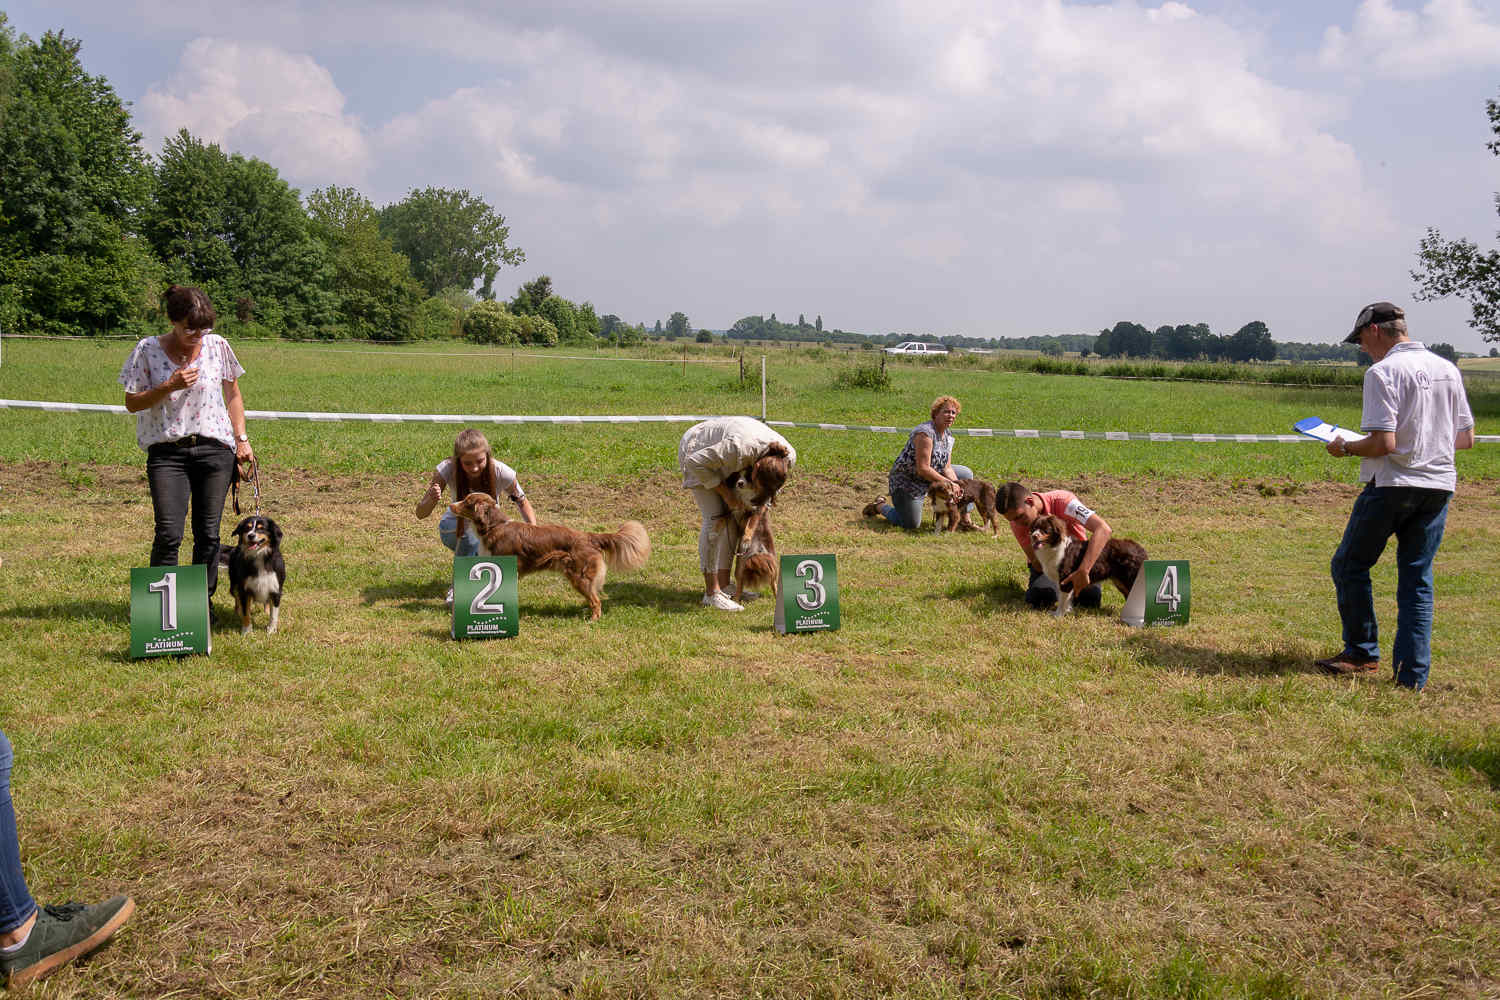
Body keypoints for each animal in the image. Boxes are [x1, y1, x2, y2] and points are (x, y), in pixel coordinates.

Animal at [450, 491, 651, 617]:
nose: (451, 505)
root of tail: (588, 536)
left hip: (580, 577)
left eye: (467, 501)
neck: (494, 526)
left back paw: (593, 620)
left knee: (596, 601)